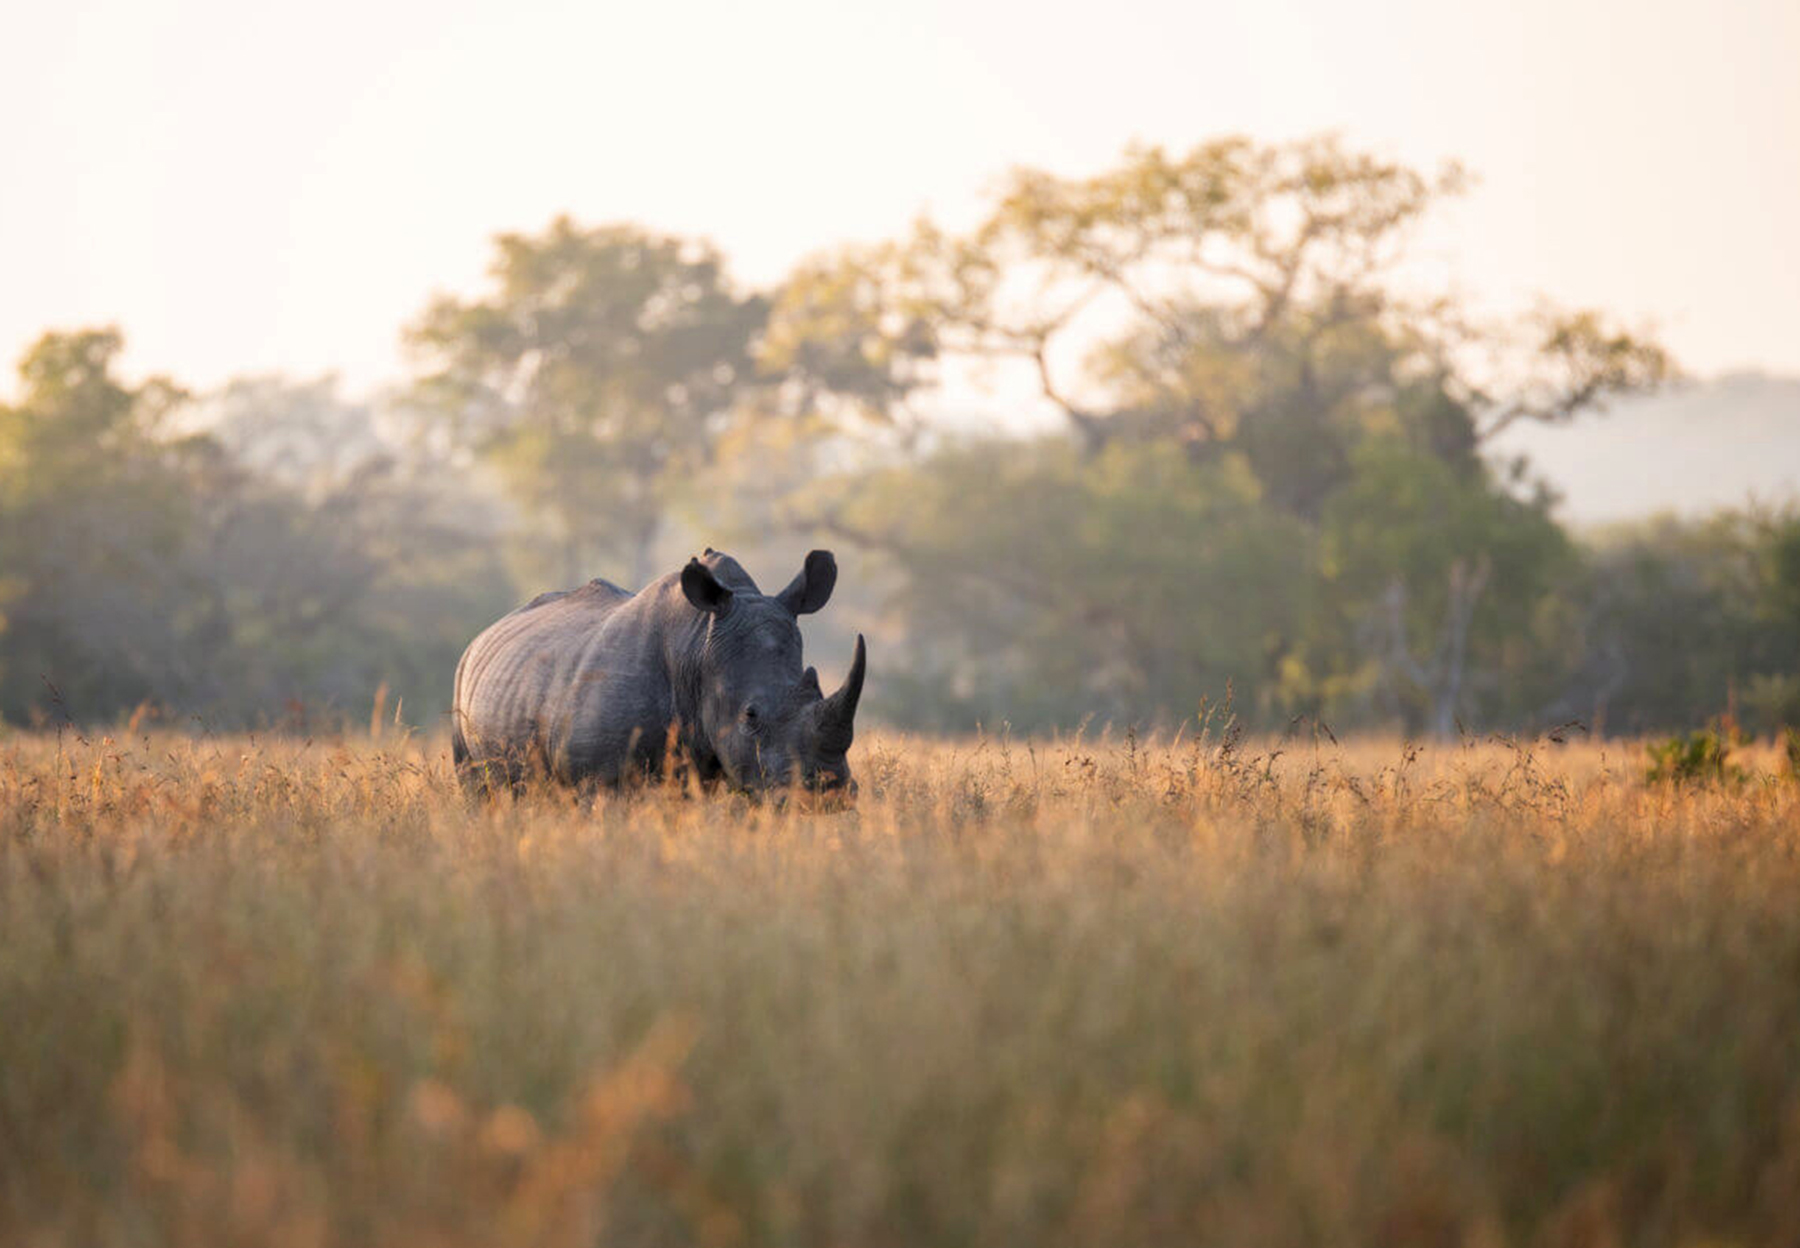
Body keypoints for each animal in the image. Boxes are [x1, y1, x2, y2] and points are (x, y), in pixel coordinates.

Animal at [453, 547, 867, 799]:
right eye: (750, 716)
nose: (829, 795)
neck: (697, 647)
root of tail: (483, 635)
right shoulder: (596, 778)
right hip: (462, 680)